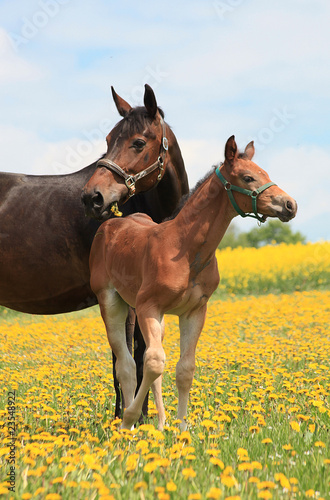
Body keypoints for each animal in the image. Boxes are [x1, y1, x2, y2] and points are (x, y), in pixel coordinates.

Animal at [89, 137, 298, 430]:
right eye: (248, 177)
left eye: (266, 174)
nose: (290, 205)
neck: (185, 249)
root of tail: (110, 226)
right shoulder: (147, 306)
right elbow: (154, 362)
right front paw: (131, 417)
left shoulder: (194, 310)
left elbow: (184, 368)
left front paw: (181, 428)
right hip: (111, 301)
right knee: (126, 364)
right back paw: (126, 426)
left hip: (155, 317)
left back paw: (161, 424)